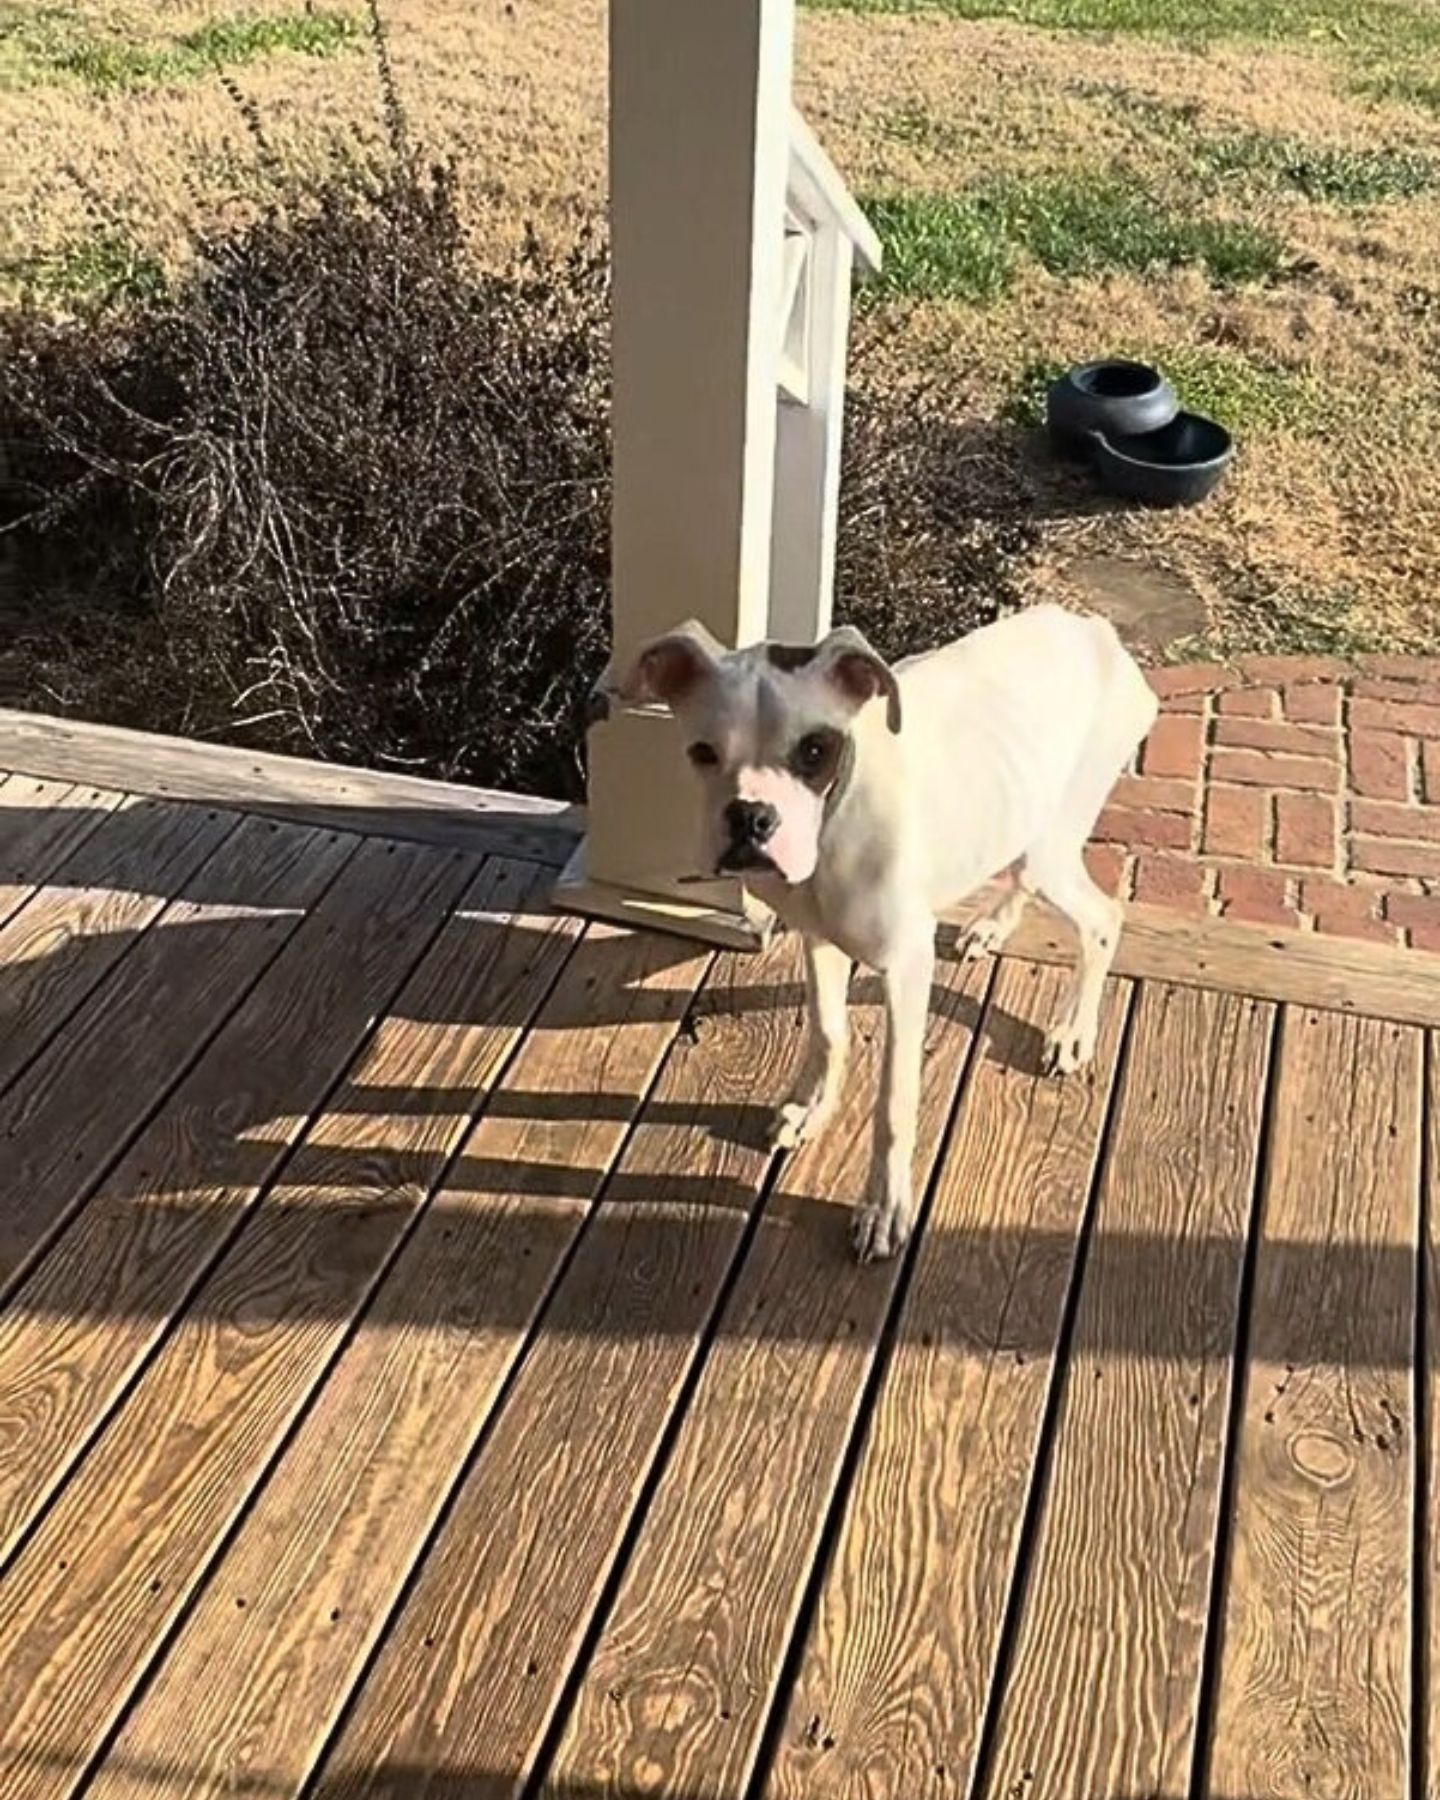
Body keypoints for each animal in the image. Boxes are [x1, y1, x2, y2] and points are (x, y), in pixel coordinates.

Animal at [597, 604, 1159, 1267]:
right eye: (703, 751)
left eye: (815, 750)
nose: (751, 818)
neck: (835, 820)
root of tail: (1094, 629)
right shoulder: (818, 940)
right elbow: (826, 1030)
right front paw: (811, 1109)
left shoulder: (905, 969)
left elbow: (894, 1102)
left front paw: (883, 1208)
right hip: (1028, 825)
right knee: (1024, 874)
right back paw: (991, 927)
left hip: (1054, 841)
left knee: (1101, 920)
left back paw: (1073, 1031)